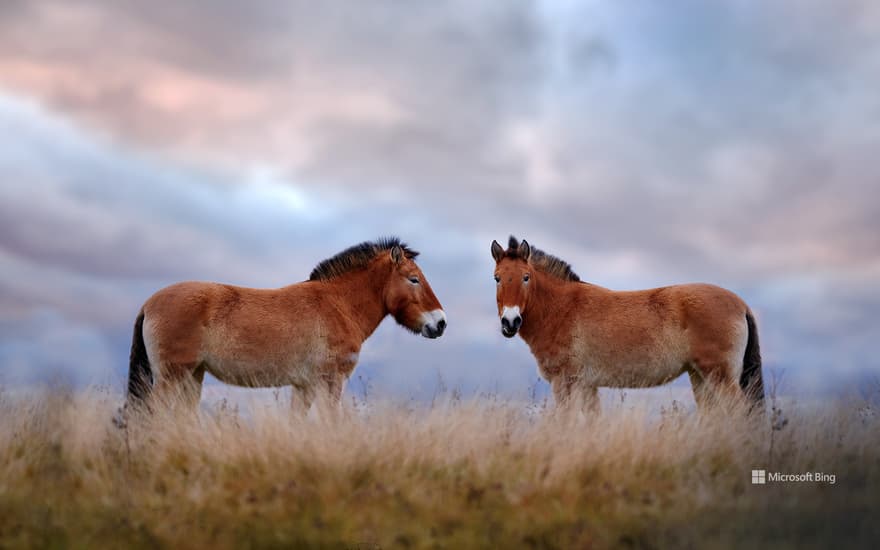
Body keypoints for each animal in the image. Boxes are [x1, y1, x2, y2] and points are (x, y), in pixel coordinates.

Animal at [125, 237, 446, 414]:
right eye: (414, 279)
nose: (440, 323)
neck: (337, 305)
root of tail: (149, 303)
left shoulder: (304, 388)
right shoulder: (330, 383)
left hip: (193, 377)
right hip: (171, 378)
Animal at [488, 237, 764, 414]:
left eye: (526, 277)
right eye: (497, 278)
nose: (510, 322)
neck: (561, 308)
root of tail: (741, 304)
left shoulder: (565, 382)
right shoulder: (587, 386)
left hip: (720, 377)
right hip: (700, 377)